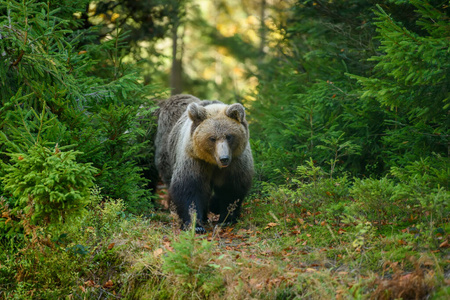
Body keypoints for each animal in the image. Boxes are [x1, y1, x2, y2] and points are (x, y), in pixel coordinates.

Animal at [155, 94, 253, 232]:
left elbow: (231, 189)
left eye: (229, 136)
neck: (213, 162)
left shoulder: (235, 162)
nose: (224, 158)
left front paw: (226, 219)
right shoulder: (195, 160)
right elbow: (190, 189)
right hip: (168, 153)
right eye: (212, 138)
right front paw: (195, 224)